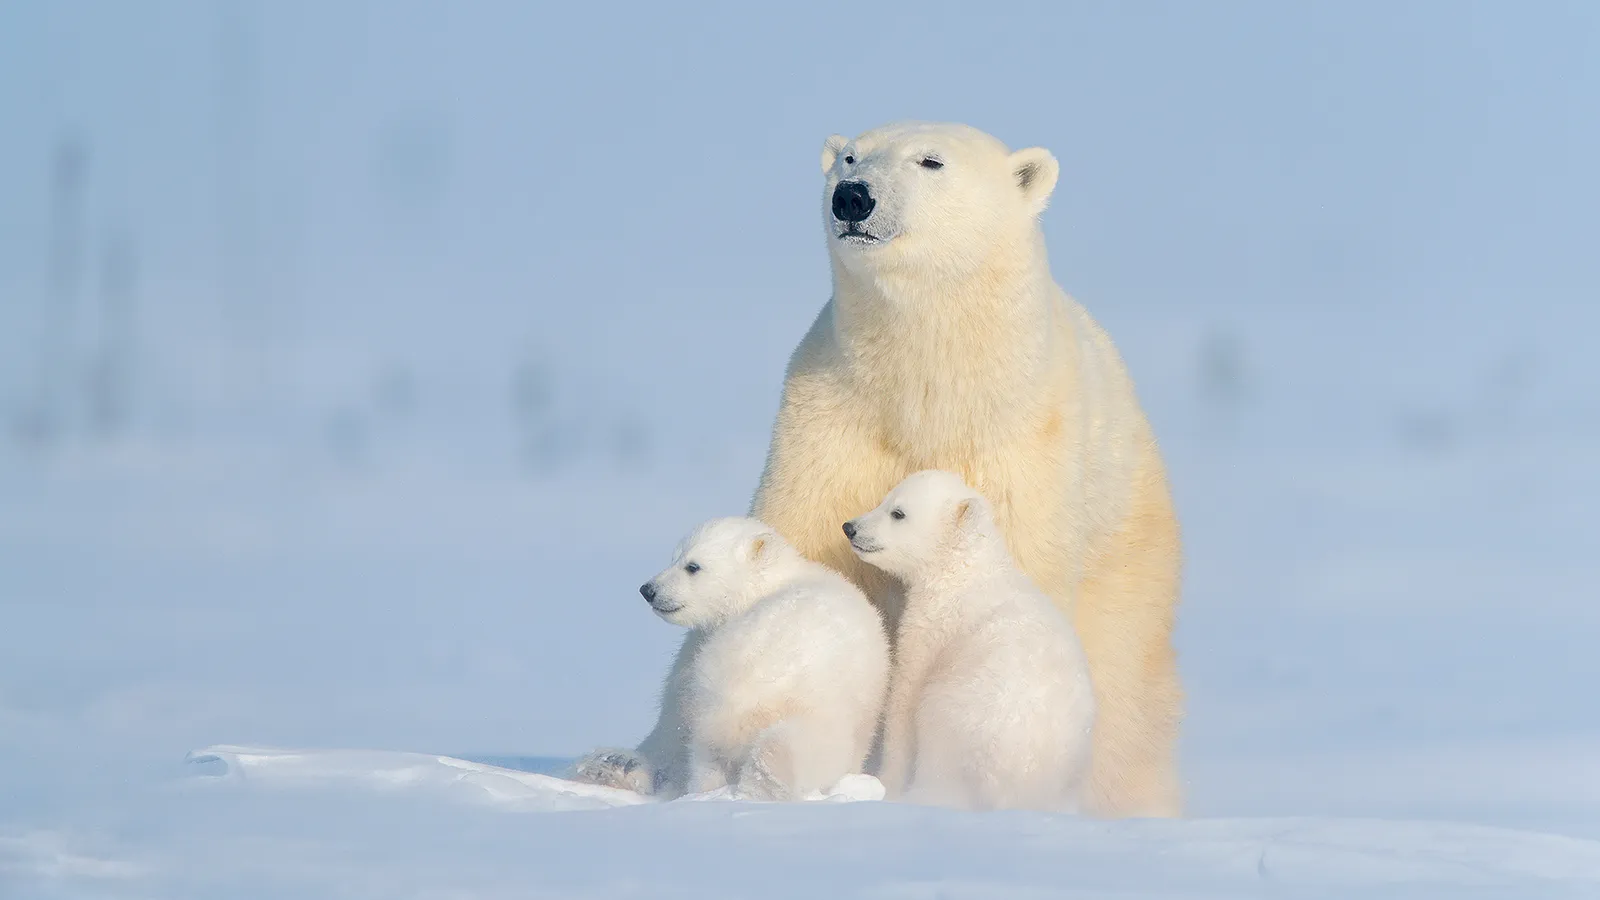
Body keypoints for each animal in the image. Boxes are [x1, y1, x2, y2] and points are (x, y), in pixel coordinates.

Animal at [844, 474, 1094, 810]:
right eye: (884, 499)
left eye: (898, 512)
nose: (850, 527)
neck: (964, 569)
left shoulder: (934, 626)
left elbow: (905, 696)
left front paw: (887, 783)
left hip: (957, 721)